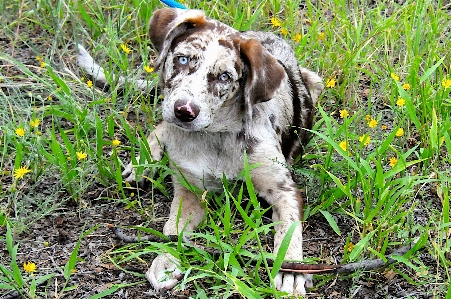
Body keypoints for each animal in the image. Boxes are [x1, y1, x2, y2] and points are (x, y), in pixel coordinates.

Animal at [78, 8, 324, 296]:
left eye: (225, 77)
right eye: (182, 59)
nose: (184, 111)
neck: (217, 136)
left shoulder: (284, 189)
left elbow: (289, 229)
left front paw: (291, 268)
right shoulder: (190, 191)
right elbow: (173, 227)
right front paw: (166, 260)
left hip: (315, 81)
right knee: (162, 126)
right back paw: (142, 164)